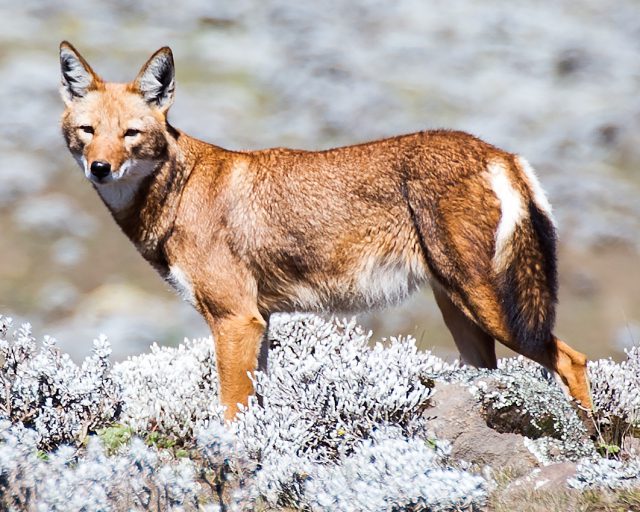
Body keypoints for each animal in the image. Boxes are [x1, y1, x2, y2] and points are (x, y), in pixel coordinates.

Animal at [58, 42, 592, 420]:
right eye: (87, 131)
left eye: (131, 133)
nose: (100, 168)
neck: (179, 189)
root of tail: (499, 153)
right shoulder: (258, 322)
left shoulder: (235, 320)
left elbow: (230, 412)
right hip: (463, 316)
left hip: (495, 311)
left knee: (573, 361)